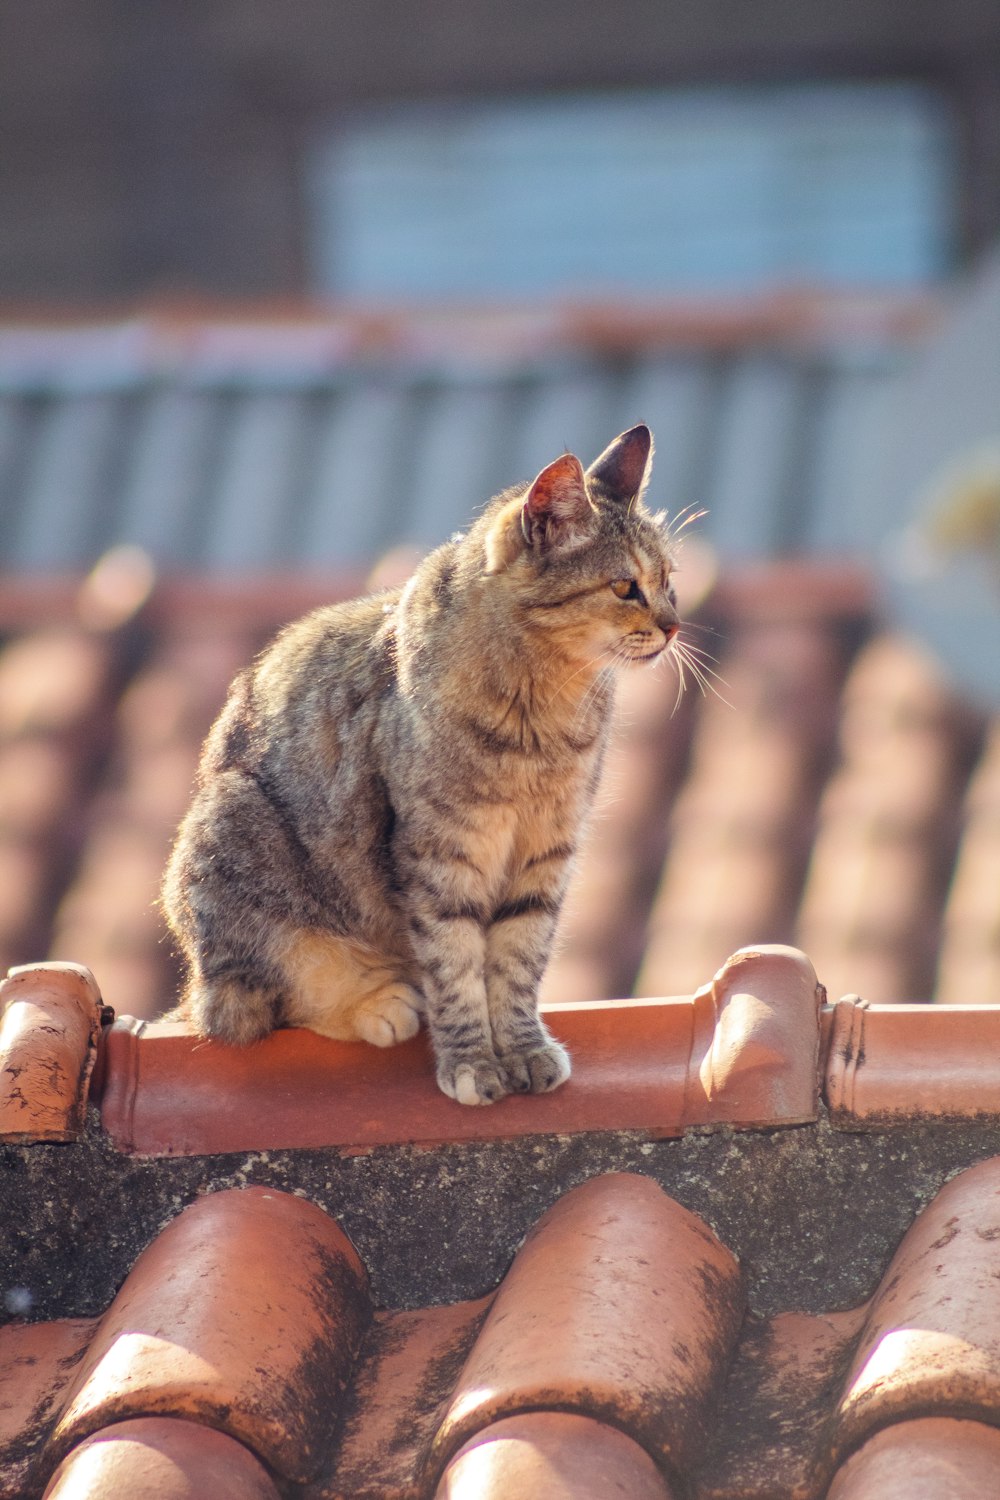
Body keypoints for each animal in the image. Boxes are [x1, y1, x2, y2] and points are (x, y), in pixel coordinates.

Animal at [162, 423, 680, 1104]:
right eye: (625, 587)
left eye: (670, 581)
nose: (675, 626)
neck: (542, 706)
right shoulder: (440, 857)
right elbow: (454, 967)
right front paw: (472, 1062)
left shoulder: (545, 852)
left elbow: (519, 960)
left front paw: (524, 1049)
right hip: (233, 837)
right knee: (249, 1008)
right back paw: (381, 1003)